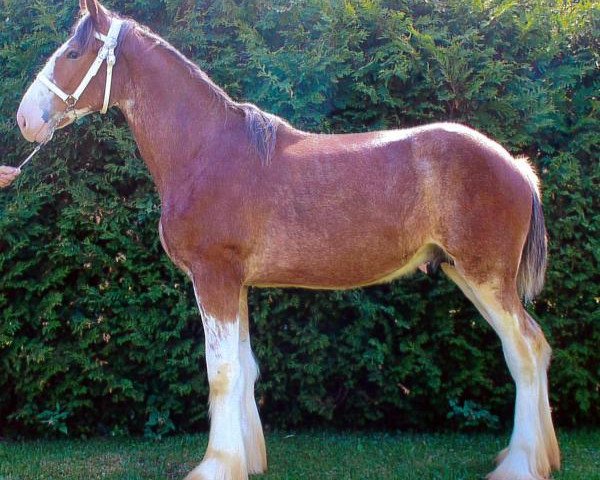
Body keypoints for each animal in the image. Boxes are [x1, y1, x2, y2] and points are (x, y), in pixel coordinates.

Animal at [12, 0, 556, 480]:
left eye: (73, 53)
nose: (24, 118)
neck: (206, 152)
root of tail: (515, 165)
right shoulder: (235, 286)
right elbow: (244, 367)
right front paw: (246, 460)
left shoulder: (214, 278)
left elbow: (221, 372)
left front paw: (215, 465)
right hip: (465, 274)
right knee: (533, 348)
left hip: (487, 278)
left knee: (526, 350)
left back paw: (520, 464)